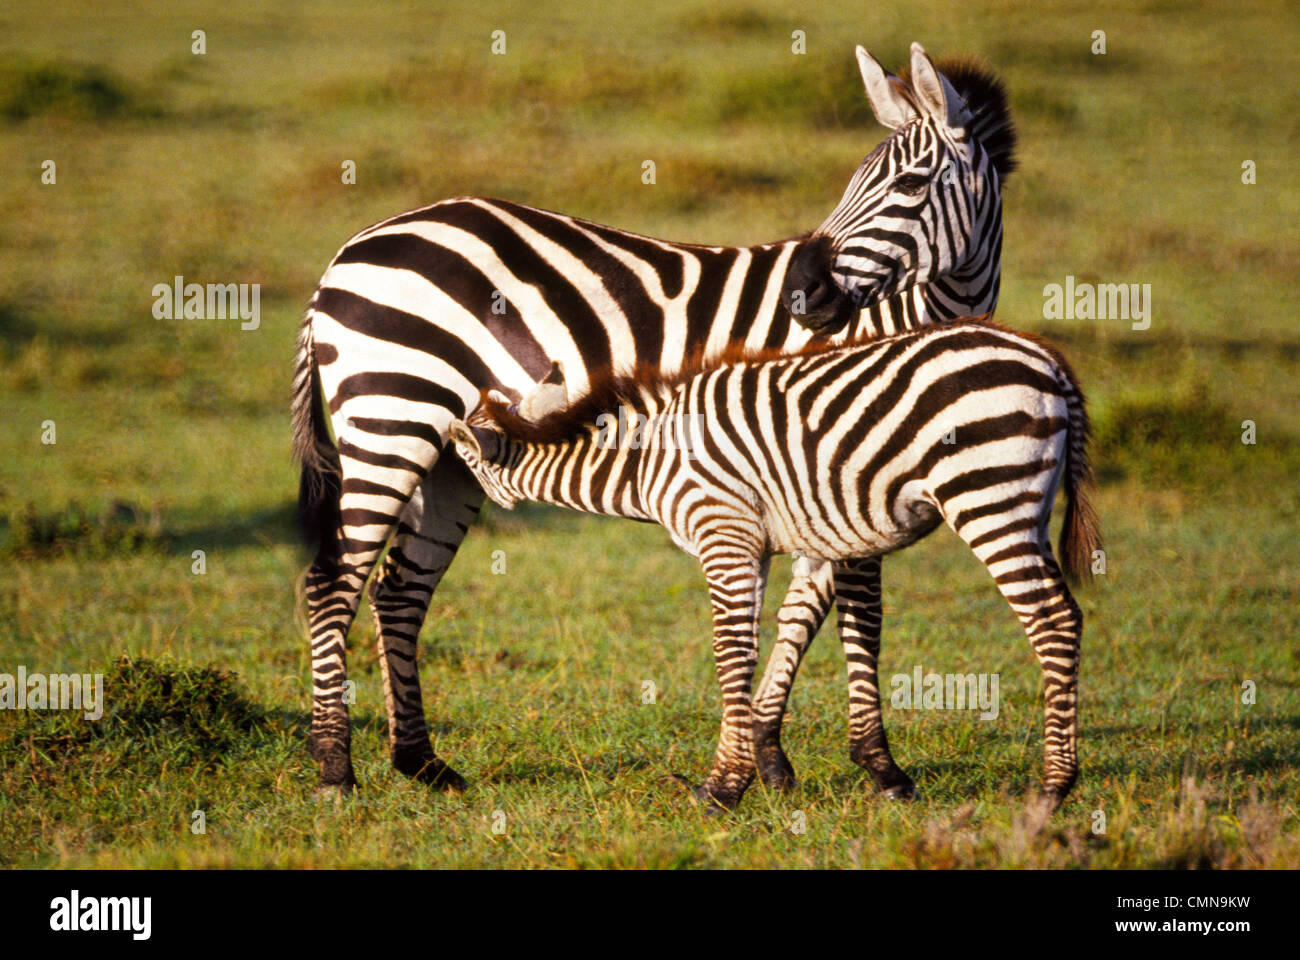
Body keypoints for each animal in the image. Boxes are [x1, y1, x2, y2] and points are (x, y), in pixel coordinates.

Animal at [292, 41, 1013, 790]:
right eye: (854, 183)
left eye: (910, 185)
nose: (804, 299)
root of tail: (349, 252)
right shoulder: (841, 460)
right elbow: (859, 609)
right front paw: (878, 766)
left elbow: (803, 611)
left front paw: (770, 754)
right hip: (390, 418)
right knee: (332, 583)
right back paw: (335, 765)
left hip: (448, 455)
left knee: (400, 590)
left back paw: (422, 762)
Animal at [447, 320, 1097, 806]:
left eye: (461, 463)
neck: (649, 462)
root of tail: (1047, 360)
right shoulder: (757, 543)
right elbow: (768, 641)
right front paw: (754, 773)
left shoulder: (724, 533)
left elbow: (731, 651)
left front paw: (721, 788)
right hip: (1026, 504)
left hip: (986, 494)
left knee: (1054, 622)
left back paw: (1053, 788)